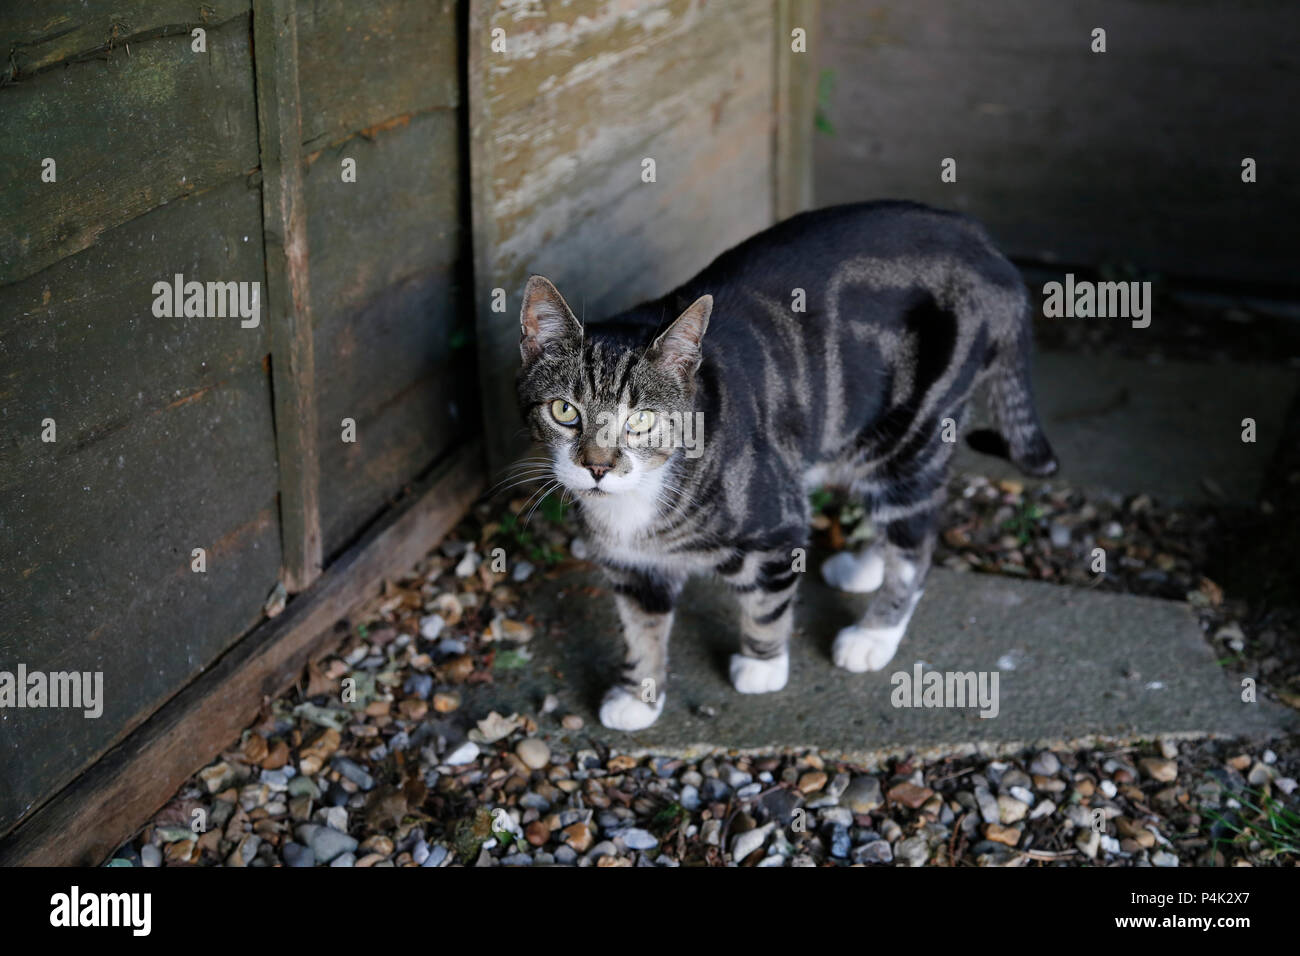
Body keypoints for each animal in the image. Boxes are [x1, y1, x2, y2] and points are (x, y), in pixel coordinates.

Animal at [512, 197, 1050, 728]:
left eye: (642, 419)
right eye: (564, 411)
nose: (598, 466)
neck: (640, 502)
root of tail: (982, 243)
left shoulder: (778, 524)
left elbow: (767, 603)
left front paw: (761, 666)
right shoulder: (632, 568)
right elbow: (641, 626)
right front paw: (638, 694)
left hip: (914, 433)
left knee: (914, 542)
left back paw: (873, 635)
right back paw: (863, 565)